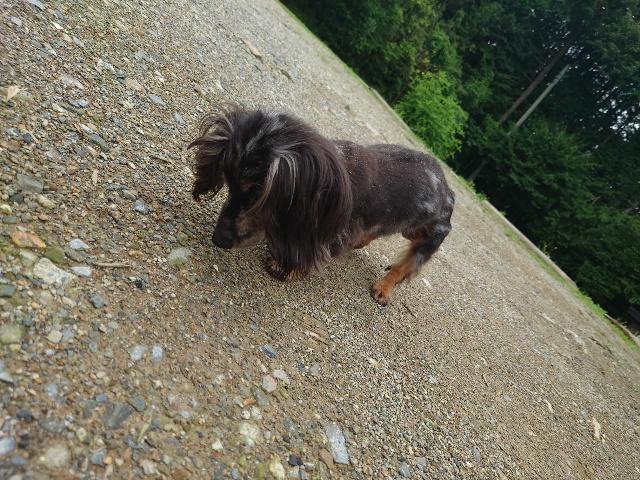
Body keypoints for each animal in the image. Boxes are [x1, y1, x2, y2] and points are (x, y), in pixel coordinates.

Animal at [188, 107, 454, 306]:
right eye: (229, 185)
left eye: (256, 195)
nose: (218, 239)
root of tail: (447, 189)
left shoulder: (335, 233)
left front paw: (288, 267)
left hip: (430, 240)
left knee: (404, 268)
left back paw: (385, 286)